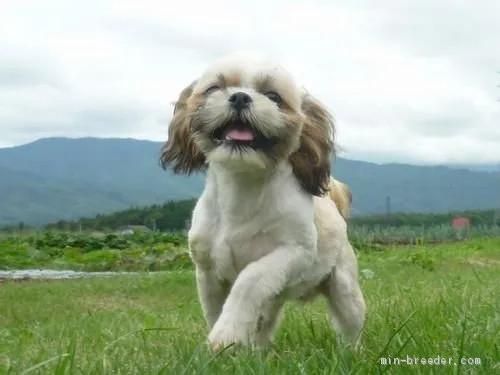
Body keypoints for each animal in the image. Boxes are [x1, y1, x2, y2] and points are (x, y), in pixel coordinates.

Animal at [162, 51, 366, 352]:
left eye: (273, 96)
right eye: (213, 89)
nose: (240, 97)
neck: (242, 191)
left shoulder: (293, 253)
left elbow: (250, 280)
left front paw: (226, 335)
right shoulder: (207, 271)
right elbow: (215, 310)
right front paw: (226, 342)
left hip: (343, 286)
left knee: (350, 323)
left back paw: (352, 352)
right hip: (274, 300)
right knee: (263, 322)